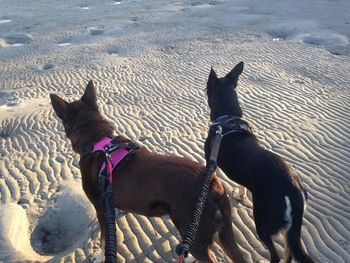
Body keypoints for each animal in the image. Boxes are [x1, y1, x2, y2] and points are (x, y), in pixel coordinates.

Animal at [50, 81, 246, 262]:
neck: (98, 140)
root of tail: (214, 184)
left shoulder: (100, 208)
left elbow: (105, 237)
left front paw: (98, 256)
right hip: (219, 231)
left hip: (195, 231)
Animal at [204, 62, 316, 263]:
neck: (227, 118)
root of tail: (293, 190)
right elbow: (241, 184)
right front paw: (240, 195)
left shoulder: (210, 161)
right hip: (290, 227)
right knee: (289, 251)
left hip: (263, 222)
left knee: (276, 254)